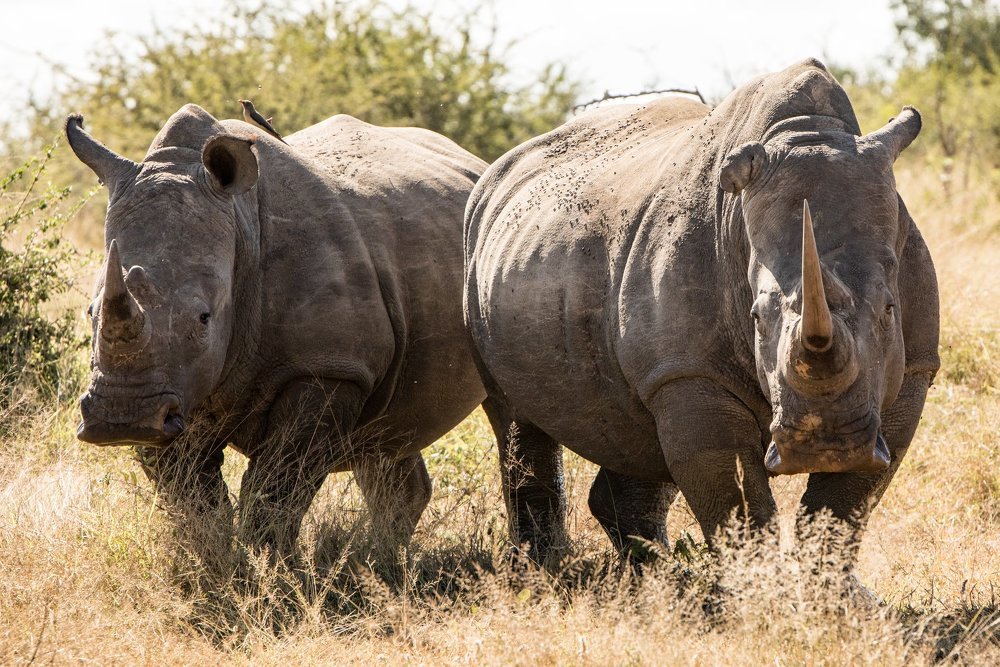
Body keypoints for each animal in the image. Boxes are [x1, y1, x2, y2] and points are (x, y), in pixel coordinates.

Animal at [67, 104, 486, 552]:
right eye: (90, 313)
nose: (122, 419)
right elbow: (189, 492)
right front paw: (213, 558)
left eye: (204, 318)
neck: (241, 225)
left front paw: (269, 565)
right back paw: (384, 555)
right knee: (385, 438)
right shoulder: (177, 387)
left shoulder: (328, 366)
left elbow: (275, 488)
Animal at [465, 59, 939, 566]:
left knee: (635, 434)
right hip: (478, 252)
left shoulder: (914, 369)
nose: (825, 443)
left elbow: (843, 508)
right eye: (756, 318)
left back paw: (654, 574)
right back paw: (546, 569)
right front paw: (759, 585)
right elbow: (738, 507)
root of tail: (494, 173)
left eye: (889, 310)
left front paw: (828, 585)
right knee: (516, 418)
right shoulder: (691, 373)